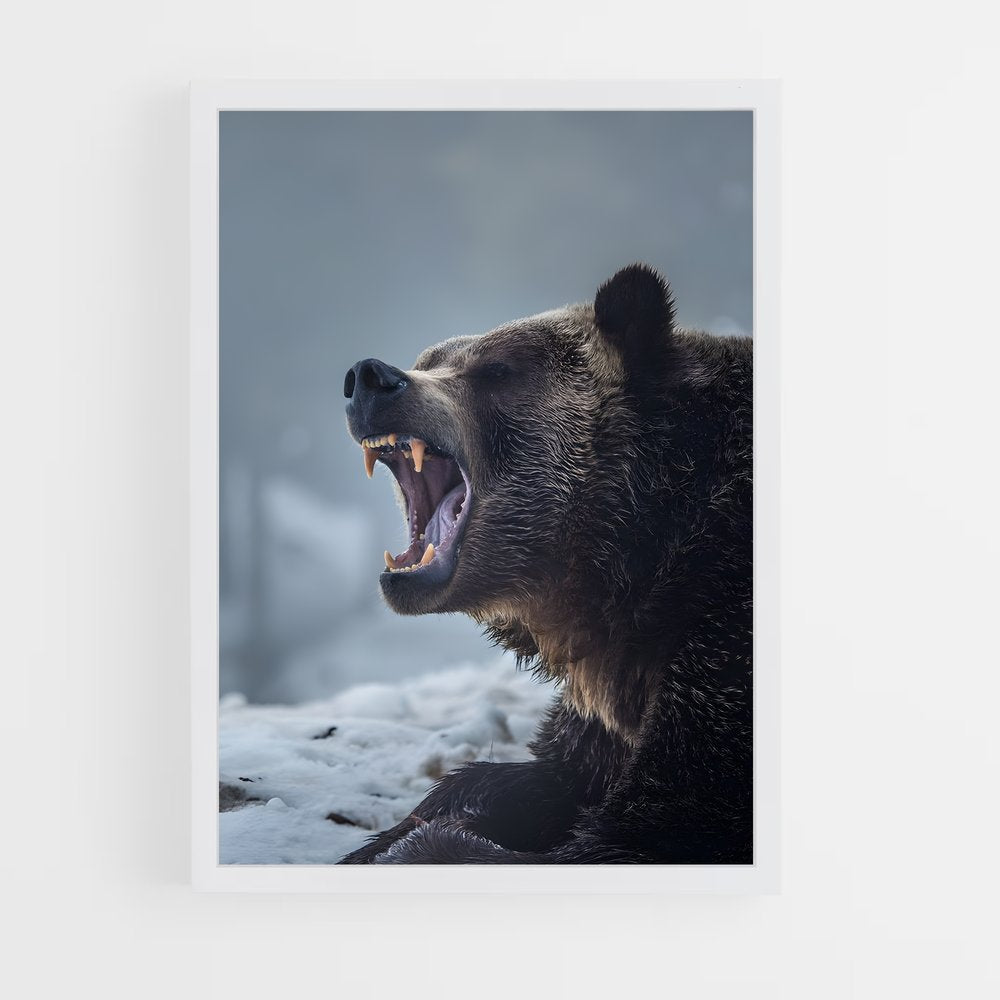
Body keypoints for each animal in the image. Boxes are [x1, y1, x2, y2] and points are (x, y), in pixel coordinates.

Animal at [340, 263, 752, 864]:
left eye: (496, 370)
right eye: (430, 358)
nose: (370, 377)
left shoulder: (721, 643)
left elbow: (643, 825)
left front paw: (427, 843)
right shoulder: (605, 704)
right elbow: (543, 777)